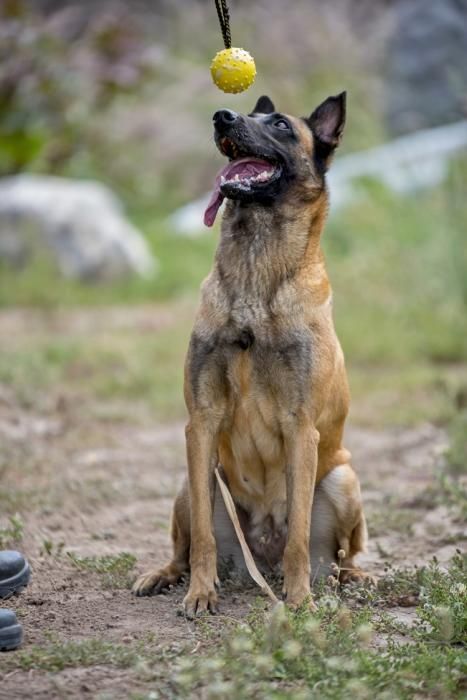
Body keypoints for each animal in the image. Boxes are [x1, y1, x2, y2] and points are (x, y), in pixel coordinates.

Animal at [133, 94, 372, 616]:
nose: (221, 116)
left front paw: (299, 600)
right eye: (246, 112)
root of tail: (260, 552)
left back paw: (352, 577)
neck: (254, 275)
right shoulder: (200, 424)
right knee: (183, 547)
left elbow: (299, 536)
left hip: (344, 479)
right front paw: (201, 592)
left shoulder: (301, 429)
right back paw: (164, 575)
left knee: (343, 552)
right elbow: (202, 538)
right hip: (189, 483)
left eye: (280, 125)